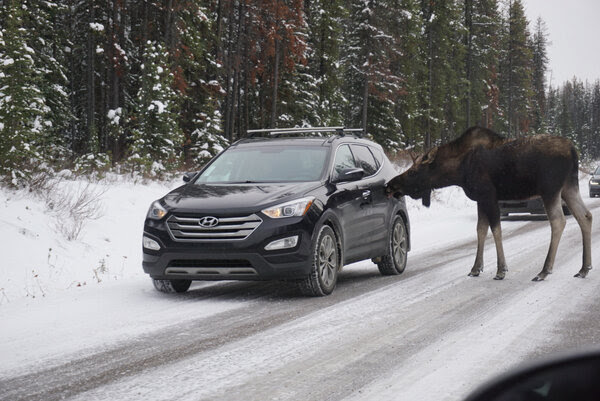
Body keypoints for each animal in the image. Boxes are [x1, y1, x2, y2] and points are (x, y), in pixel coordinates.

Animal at [386, 126, 592, 280]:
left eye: (413, 172)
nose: (390, 185)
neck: (458, 171)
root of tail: (573, 151)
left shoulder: (489, 196)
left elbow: (496, 230)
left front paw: (501, 270)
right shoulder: (480, 199)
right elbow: (481, 230)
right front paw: (476, 268)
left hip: (550, 189)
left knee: (558, 221)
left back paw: (544, 270)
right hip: (569, 187)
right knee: (585, 216)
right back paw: (584, 268)